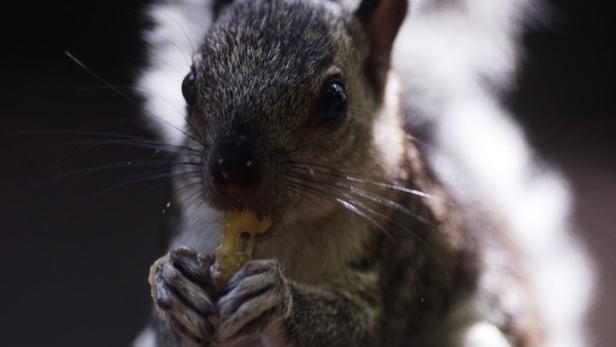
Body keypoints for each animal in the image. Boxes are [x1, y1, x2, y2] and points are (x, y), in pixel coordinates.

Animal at [131, 0, 596, 347]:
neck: (289, 235)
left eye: (335, 99)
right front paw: (171, 286)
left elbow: (369, 326)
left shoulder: (409, 264)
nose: (231, 169)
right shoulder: (197, 226)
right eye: (189, 84)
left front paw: (278, 298)